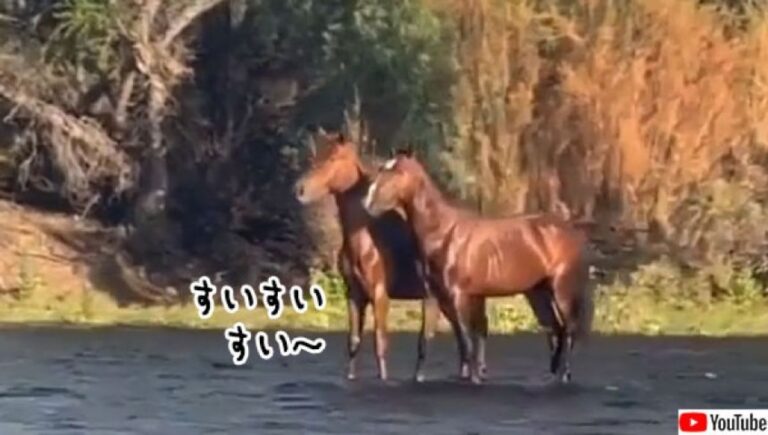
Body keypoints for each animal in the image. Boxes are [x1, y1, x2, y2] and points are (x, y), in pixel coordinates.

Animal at [294, 131, 460, 382]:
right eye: (314, 156)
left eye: (333, 158)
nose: (300, 190)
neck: (366, 233)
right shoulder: (354, 295)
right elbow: (354, 342)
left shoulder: (379, 295)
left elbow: (379, 344)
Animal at [362, 151, 594, 384]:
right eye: (382, 170)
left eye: (398, 173)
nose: (368, 203)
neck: (443, 233)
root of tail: (571, 230)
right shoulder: (431, 295)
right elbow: (425, 338)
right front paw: (419, 377)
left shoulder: (459, 295)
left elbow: (467, 338)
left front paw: (474, 377)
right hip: (538, 293)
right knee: (555, 328)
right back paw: (551, 375)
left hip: (561, 289)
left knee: (569, 328)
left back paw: (564, 374)